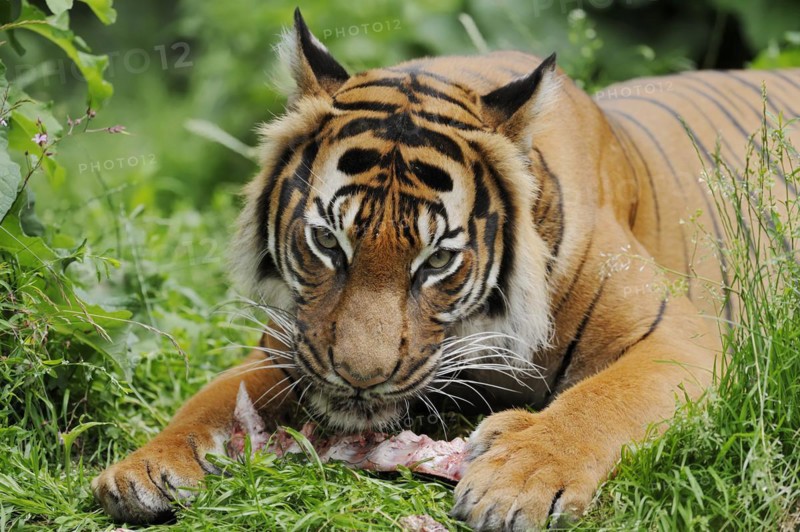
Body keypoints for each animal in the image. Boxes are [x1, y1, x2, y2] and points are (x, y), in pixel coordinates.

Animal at [92, 8, 800, 529]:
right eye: (327, 242)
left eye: (437, 261)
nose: (359, 380)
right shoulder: (291, 346)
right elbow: (209, 398)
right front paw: (141, 468)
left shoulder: (678, 341)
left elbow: (601, 401)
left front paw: (517, 481)